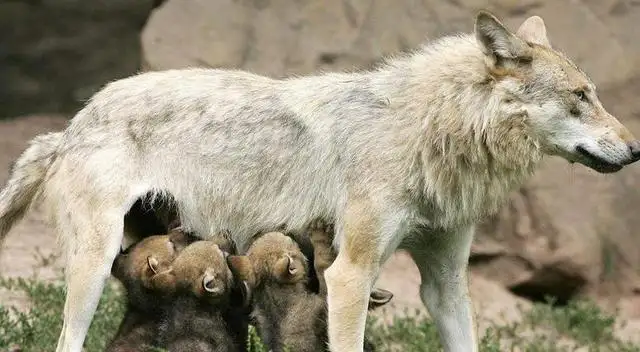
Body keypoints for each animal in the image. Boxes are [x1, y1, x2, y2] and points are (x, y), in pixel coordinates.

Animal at [1, 9, 640, 352]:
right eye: (581, 97)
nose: (635, 149)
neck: (428, 130)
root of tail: (74, 122)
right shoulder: (350, 274)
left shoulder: (446, 285)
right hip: (89, 270)